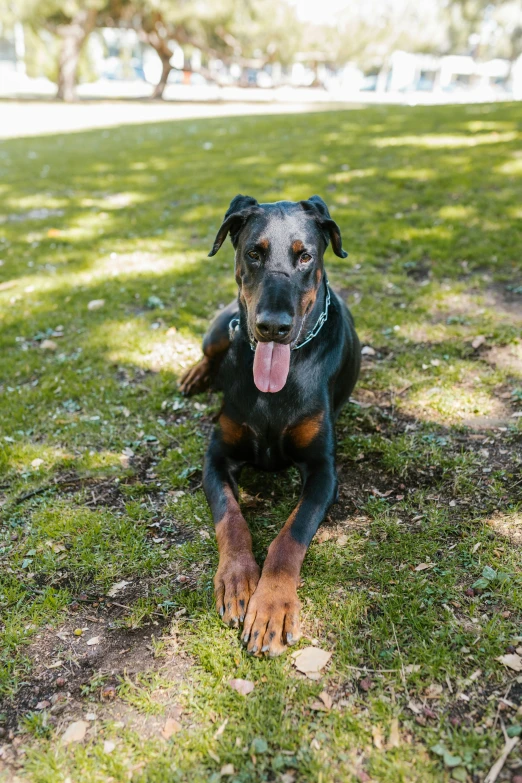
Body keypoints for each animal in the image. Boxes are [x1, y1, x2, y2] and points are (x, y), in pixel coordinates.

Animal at [179, 194, 358, 656]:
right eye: (253, 252)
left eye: (305, 256)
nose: (273, 326)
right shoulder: (217, 455)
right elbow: (231, 517)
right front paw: (238, 578)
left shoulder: (324, 471)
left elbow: (291, 535)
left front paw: (273, 606)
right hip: (222, 329)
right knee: (209, 352)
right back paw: (195, 375)